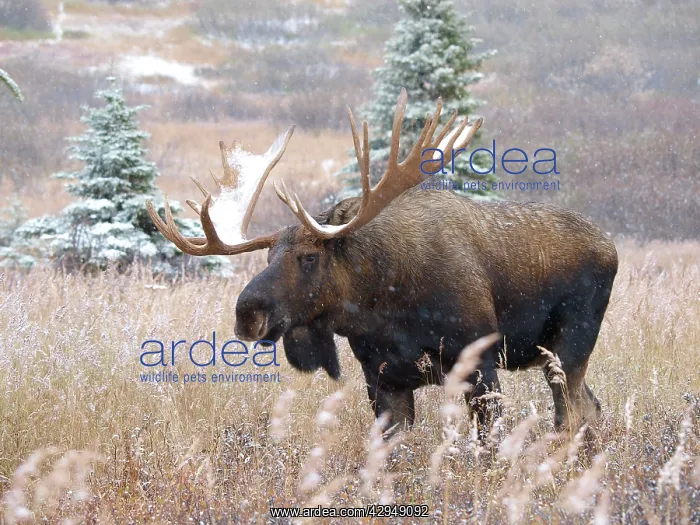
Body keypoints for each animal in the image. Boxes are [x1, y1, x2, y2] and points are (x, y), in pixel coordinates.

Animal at [146, 89, 618, 436]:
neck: (382, 305)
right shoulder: (382, 378)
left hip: (571, 346)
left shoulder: (480, 363)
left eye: (309, 256)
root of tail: (611, 247)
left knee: (572, 413)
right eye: (267, 254)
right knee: (591, 408)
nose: (247, 314)